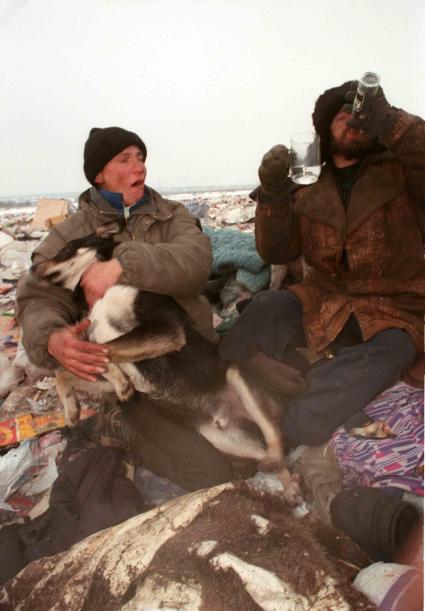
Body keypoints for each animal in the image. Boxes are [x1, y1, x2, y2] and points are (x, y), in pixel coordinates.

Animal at [31, 222, 300, 500]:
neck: (100, 295)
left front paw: (113, 382)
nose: (31, 266)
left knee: (276, 436)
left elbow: (103, 348)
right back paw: (288, 487)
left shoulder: (166, 330)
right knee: (271, 454)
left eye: (65, 250)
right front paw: (72, 408)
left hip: (237, 374)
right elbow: (66, 372)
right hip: (227, 440)